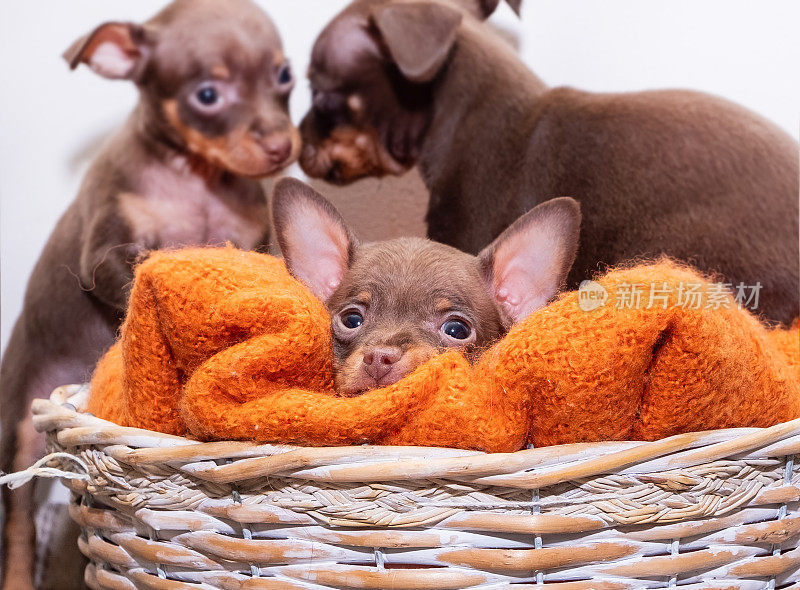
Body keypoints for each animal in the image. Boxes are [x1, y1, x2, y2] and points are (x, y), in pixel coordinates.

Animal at [0, 2, 300, 588]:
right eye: (206, 95)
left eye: (283, 75)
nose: (282, 145)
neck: (196, 177)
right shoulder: (103, 257)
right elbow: (138, 278)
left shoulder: (249, 238)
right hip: (19, 424)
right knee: (18, 522)